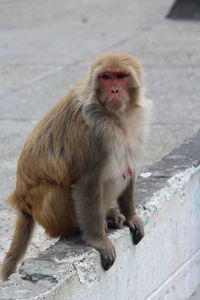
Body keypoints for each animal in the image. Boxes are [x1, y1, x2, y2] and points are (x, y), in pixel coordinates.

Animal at [0, 52, 152, 280]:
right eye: (106, 77)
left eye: (121, 76)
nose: (114, 90)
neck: (115, 114)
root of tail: (22, 201)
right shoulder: (95, 132)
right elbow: (87, 181)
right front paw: (98, 240)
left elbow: (129, 166)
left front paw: (131, 215)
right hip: (48, 213)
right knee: (63, 191)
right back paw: (81, 227)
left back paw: (109, 214)